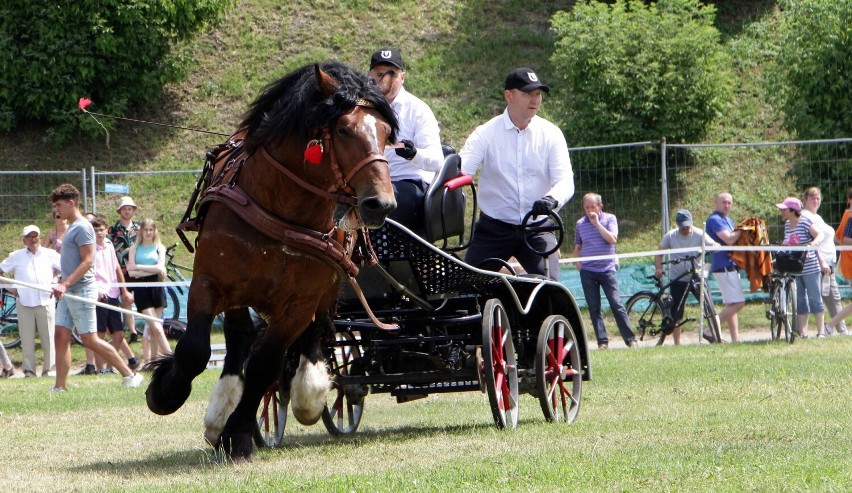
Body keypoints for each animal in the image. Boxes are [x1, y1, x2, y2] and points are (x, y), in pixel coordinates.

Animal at [146, 60, 400, 458]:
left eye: (387, 134)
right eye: (343, 129)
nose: (381, 204)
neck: (283, 210)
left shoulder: (298, 305)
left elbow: (265, 365)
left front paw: (238, 433)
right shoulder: (209, 281)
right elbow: (194, 350)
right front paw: (165, 391)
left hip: (329, 285)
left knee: (316, 332)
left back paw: (307, 391)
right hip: (240, 296)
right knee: (238, 339)